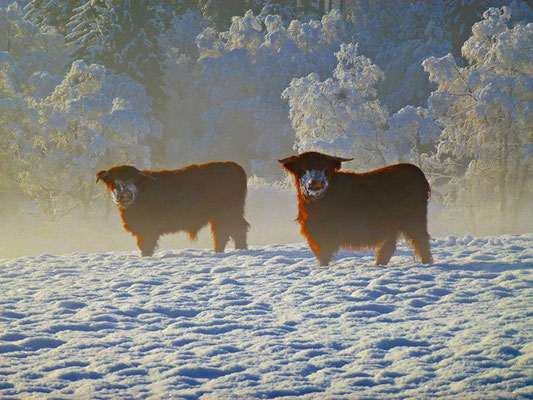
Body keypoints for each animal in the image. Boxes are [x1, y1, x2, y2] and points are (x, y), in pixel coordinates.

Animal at [96, 162, 249, 256]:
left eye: (133, 179)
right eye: (114, 181)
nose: (125, 195)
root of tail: (235, 166)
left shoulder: (149, 229)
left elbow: (146, 245)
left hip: (229, 213)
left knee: (236, 230)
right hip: (220, 217)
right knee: (223, 233)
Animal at [278, 152, 432, 268]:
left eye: (325, 168)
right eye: (303, 168)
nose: (317, 183)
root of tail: (416, 171)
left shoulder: (326, 235)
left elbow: (324, 256)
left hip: (414, 220)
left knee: (422, 241)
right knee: (388, 247)